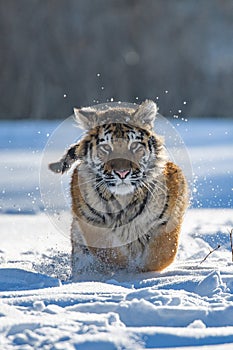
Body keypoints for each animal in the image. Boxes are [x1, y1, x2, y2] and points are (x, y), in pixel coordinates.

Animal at [49, 100, 187, 280]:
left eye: (134, 146)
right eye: (106, 148)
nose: (122, 172)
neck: (124, 198)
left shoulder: (169, 215)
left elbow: (162, 253)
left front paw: (140, 270)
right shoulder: (90, 222)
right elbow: (109, 251)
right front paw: (124, 269)